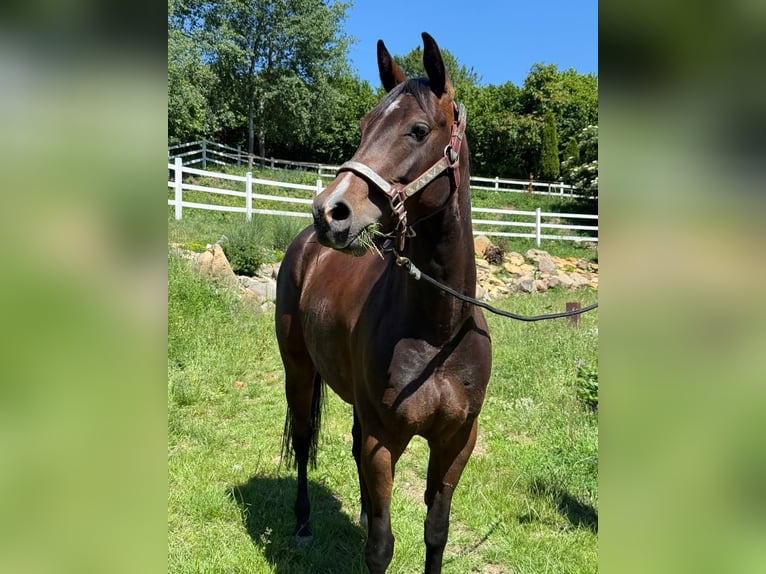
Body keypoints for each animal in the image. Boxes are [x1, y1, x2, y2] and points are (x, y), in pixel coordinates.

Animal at [275, 32, 492, 574]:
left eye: (418, 130)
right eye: (363, 126)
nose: (330, 212)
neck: (438, 332)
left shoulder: (457, 441)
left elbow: (436, 531)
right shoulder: (384, 440)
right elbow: (381, 545)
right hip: (298, 368)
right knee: (304, 439)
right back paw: (304, 524)